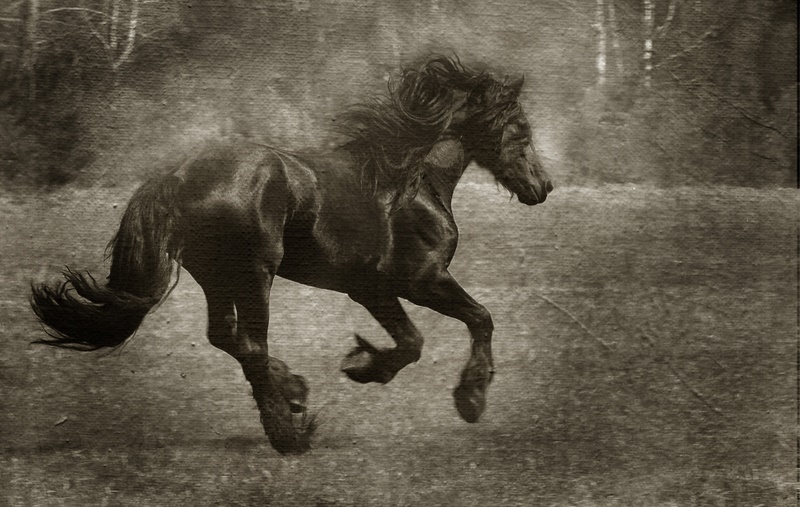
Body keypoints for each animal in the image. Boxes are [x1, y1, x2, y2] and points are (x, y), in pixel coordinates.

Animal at [30, 55, 553, 455]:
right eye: (520, 128)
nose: (543, 187)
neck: (410, 183)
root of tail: (176, 179)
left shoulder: (371, 289)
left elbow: (411, 343)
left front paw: (361, 366)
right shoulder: (423, 280)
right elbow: (478, 319)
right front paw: (470, 398)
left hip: (217, 277)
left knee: (224, 336)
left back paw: (294, 392)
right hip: (254, 274)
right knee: (251, 344)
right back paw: (289, 435)